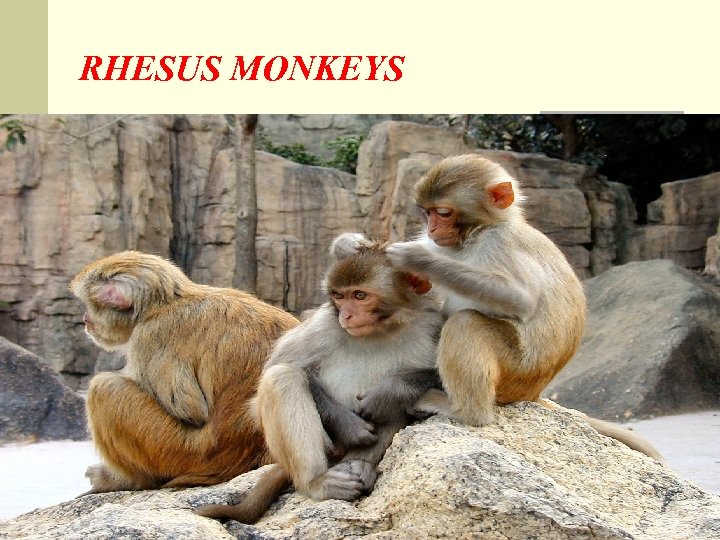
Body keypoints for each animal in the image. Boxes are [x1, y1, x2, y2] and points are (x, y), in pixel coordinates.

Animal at [69, 250, 300, 493]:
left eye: (89, 305)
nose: (85, 320)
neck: (164, 304)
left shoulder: (150, 336)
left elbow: (191, 411)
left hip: (183, 453)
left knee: (104, 388)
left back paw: (127, 481)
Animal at [195, 233, 444, 522]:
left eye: (360, 295)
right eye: (339, 296)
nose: (346, 315)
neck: (383, 329)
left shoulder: (431, 324)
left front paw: (390, 390)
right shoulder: (324, 326)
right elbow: (274, 375)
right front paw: (349, 425)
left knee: (391, 407)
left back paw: (360, 465)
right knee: (282, 378)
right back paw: (317, 482)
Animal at [385, 154, 662, 461]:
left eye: (443, 212)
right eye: (427, 213)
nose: (432, 229)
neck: (476, 233)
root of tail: (532, 394)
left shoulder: (499, 242)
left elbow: (519, 299)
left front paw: (416, 258)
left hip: (516, 372)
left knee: (467, 323)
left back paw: (466, 412)